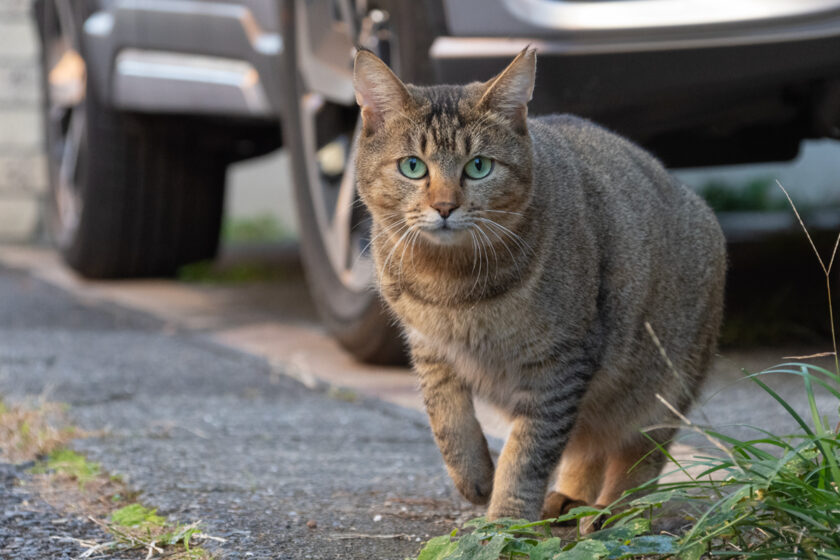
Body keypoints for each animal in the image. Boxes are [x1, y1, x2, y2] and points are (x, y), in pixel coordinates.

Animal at [352, 49, 724, 524]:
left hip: (662, 385)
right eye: (413, 167)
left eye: (478, 167)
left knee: (638, 453)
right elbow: (447, 419)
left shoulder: (559, 365)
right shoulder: (429, 348)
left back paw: (615, 509)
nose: (444, 207)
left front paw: (506, 520)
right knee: (587, 442)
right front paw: (475, 478)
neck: (451, 286)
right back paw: (568, 497)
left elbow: (527, 454)